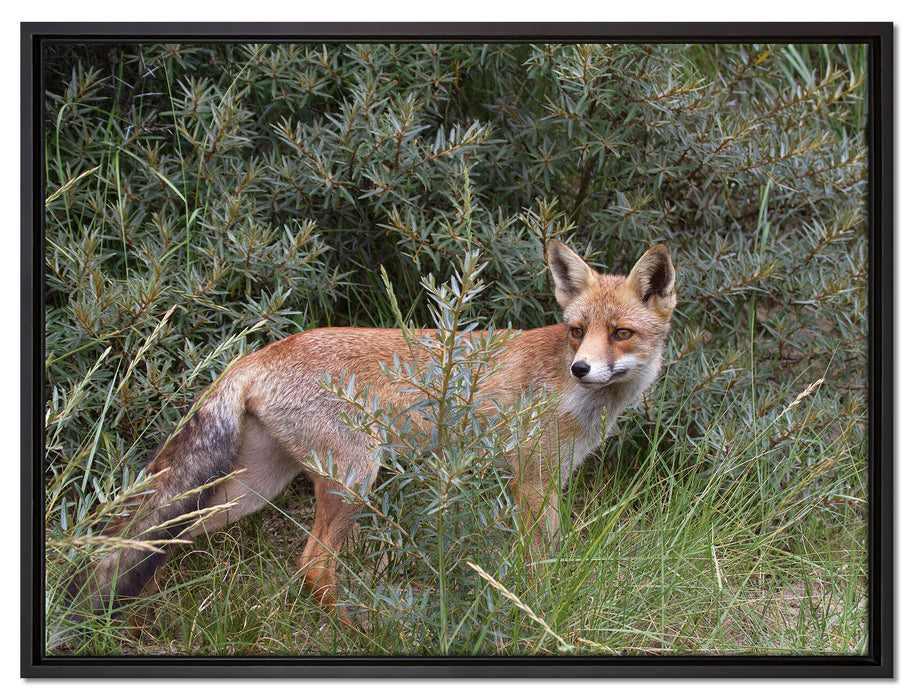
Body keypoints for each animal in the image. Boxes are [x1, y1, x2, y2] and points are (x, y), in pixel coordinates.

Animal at [60, 240, 675, 636]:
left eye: (621, 333)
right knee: (311, 566)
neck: (573, 396)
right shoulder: (533, 480)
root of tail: (259, 354)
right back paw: (365, 628)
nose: (581, 368)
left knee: (157, 540)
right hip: (356, 475)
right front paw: (537, 611)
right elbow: (538, 565)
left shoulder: (545, 481)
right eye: (577, 330)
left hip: (251, 490)